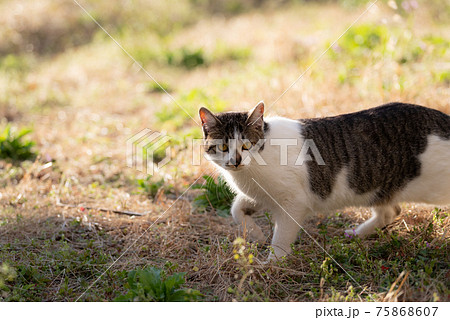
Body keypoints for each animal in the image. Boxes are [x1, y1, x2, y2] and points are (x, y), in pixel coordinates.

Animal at [200, 102, 450, 260]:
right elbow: (236, 209)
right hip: (377, 188)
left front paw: (271, 264)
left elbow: (281, 238)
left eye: (246, 145)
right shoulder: (261, 195)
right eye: (223, 147)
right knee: (390, 212)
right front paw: (256, 234)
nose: (236, 161)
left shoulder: (293, 202)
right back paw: (356, 234)